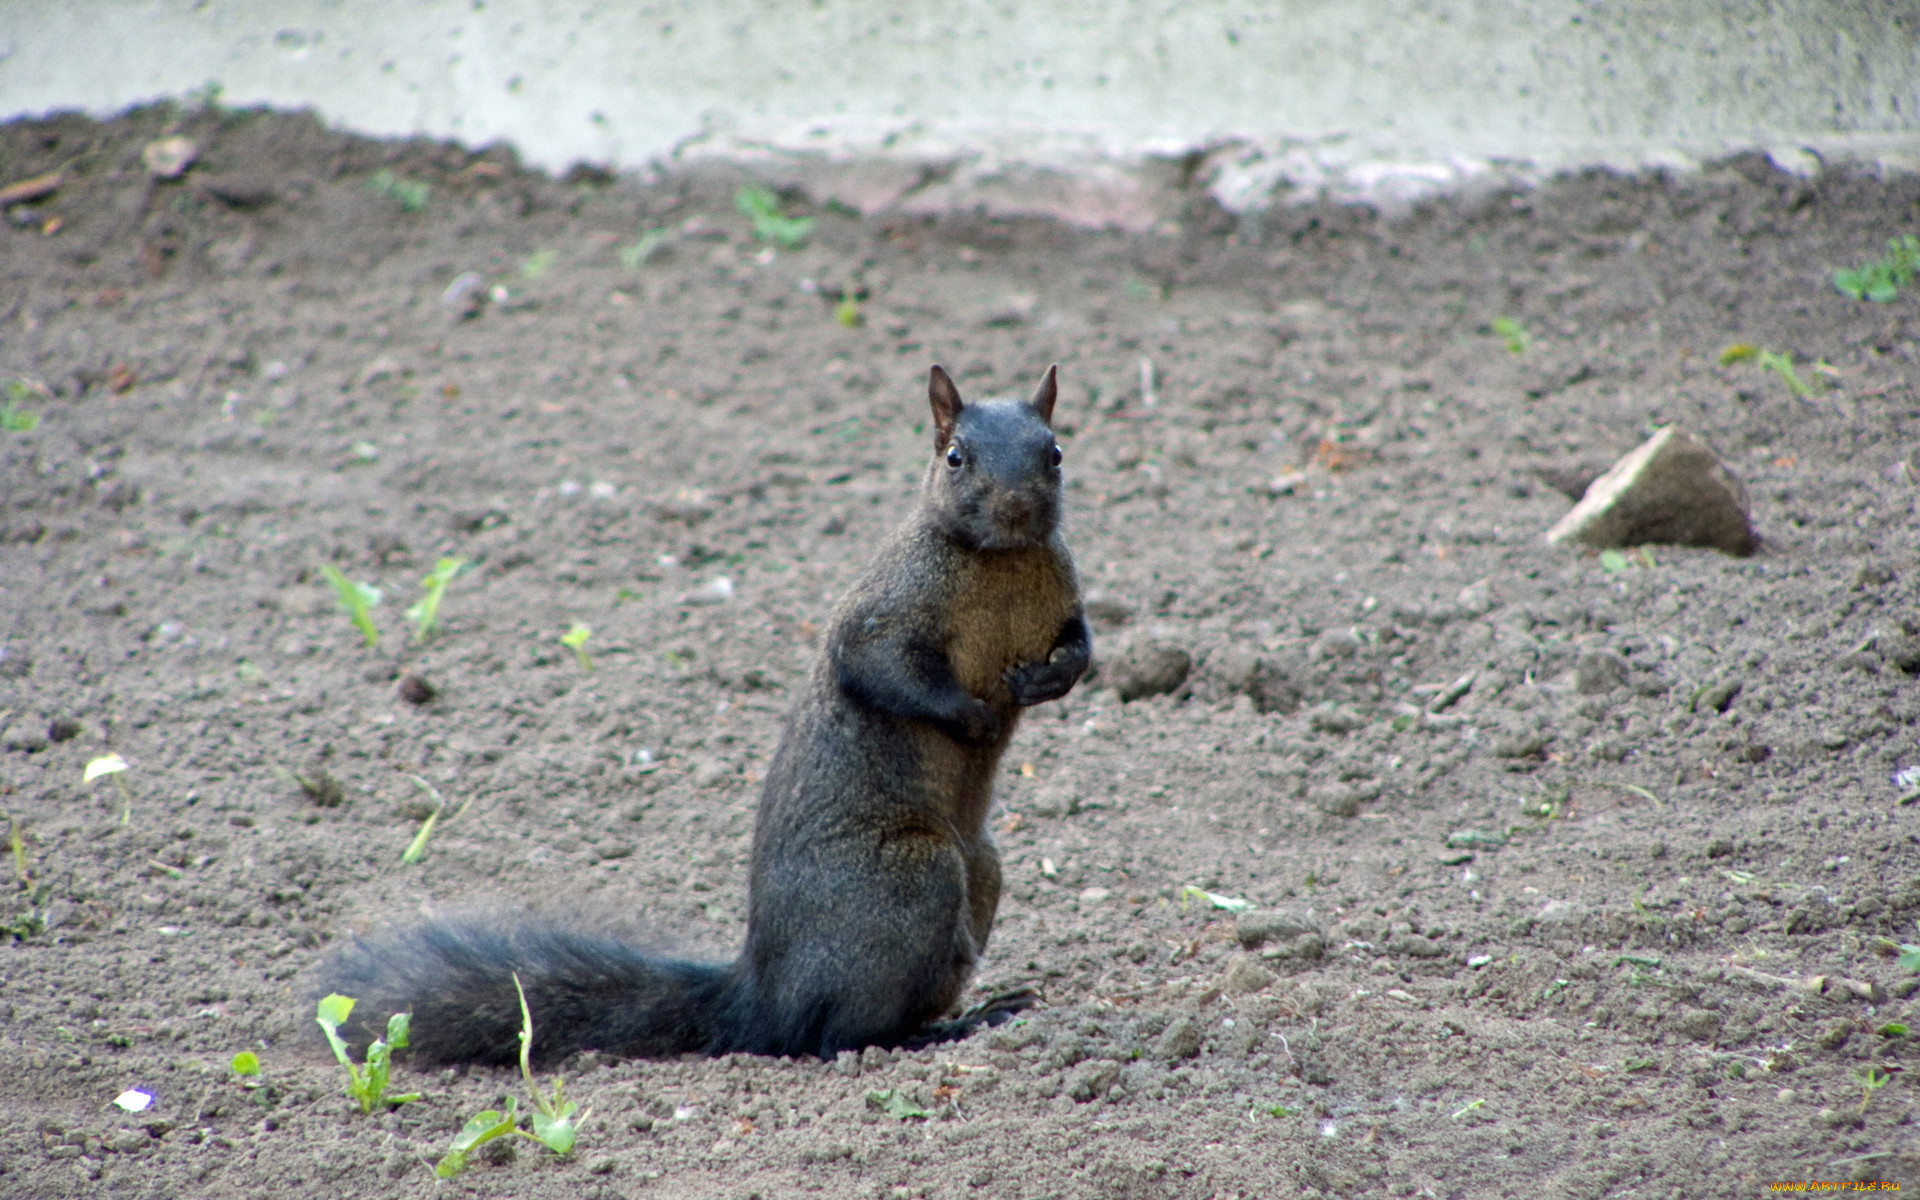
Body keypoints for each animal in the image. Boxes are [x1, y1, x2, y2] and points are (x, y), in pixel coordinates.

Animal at [322, 362, 1090, 1059]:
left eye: (1055, 452)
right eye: (955, 457)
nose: (1016, 508)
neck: (999, 559)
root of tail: (764, 999)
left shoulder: (1063, 604)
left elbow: (1081, 650)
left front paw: (1046, 682)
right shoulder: (883, 612)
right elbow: (879, 669)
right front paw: (973, 716)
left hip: (979, 871)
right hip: (909, 882)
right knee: (840, 1036)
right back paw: (948, 1028)